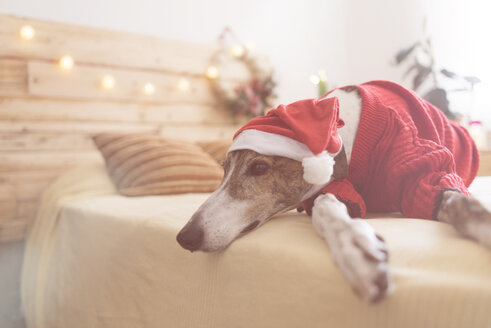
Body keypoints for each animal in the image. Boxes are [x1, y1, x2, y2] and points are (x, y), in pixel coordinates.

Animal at [178, 80, 491, 302]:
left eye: (258, 168)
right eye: (223, 168)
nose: (184, 237)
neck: (344, 134)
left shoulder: (421, 171)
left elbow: (455, 199)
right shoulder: (328, 189)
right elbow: (327, 207)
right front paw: (355, 246)